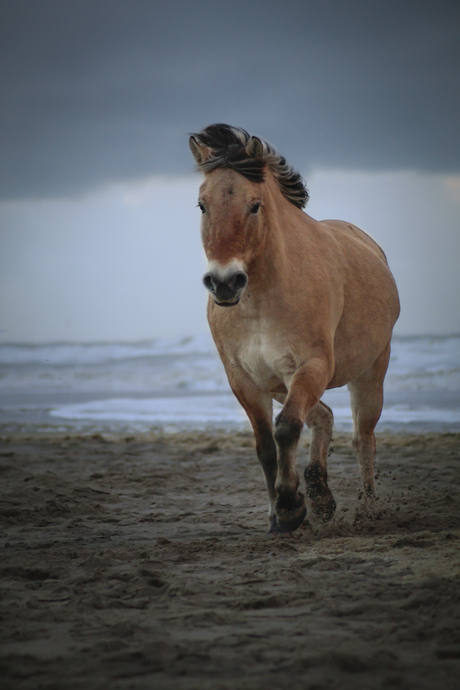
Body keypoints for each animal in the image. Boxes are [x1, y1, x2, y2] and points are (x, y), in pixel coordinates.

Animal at [189, 124, 400, 534]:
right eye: (202, 205)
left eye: (255, 205)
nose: (224, 283)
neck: (259, 303)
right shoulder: (245, 380)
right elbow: (265, 446)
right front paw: (279, 516)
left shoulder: (312, 365)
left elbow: (286, 428)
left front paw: (290, 507)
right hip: (281, 384)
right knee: (323, 417)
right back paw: (320, 496)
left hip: (369, 371)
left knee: (363, 438)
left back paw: (367, 511)